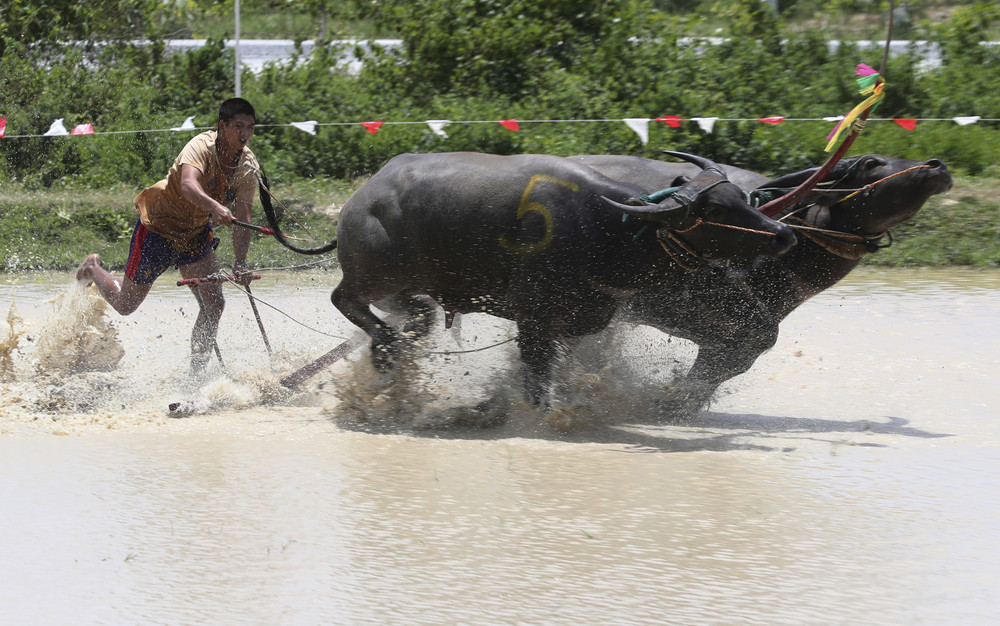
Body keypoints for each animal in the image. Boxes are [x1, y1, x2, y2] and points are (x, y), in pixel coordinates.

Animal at [278, 149, 792, 408]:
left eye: (740, 198)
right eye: (717, 211)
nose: (783, 232)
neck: (606, 230)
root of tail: (361, 198)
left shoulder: (577, 323)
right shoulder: (535, 321)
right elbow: (537, 382)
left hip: (409, 287)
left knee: (418, 313)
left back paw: (393, 346)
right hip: (375, 274)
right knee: (344, 298)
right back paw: (385, 349)